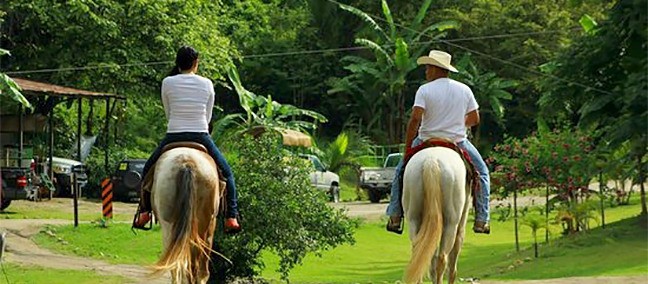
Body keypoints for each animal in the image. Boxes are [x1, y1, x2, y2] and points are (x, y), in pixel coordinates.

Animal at [400, 148, 470, 282]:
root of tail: (431, 161)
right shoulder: (461, 224)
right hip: (451, 224)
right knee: (442, 259)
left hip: (413, 219)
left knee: (420, 257)